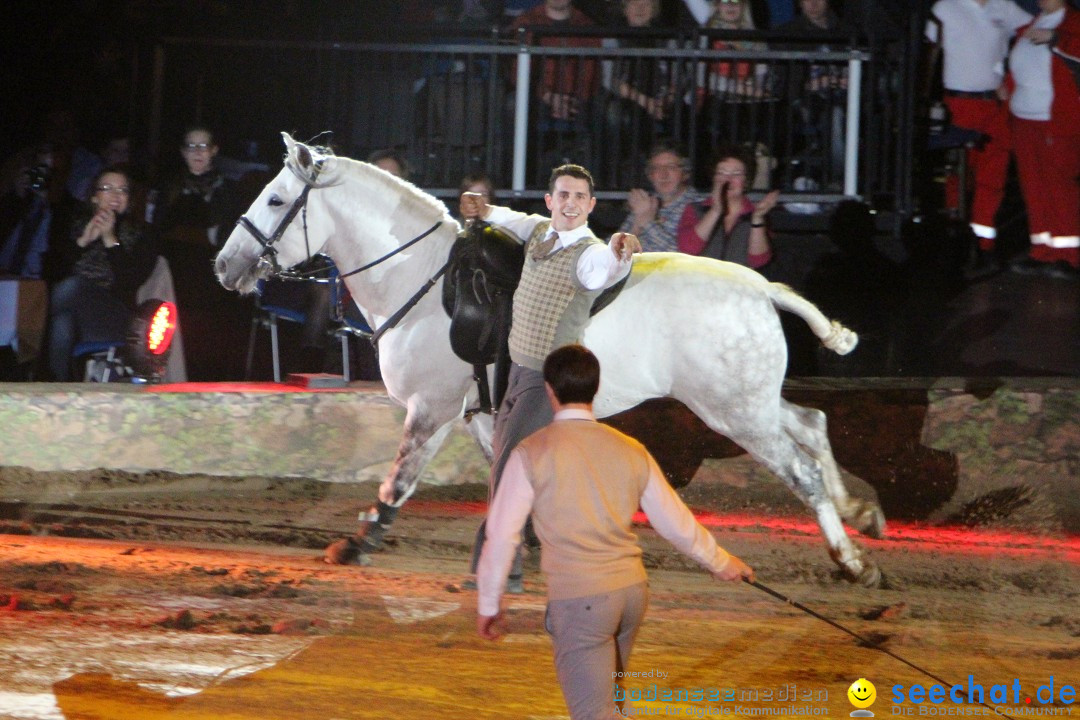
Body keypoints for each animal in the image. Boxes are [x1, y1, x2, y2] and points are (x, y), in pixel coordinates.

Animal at [217, 133, 885, 587]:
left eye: (276, 199)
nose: (224, 266)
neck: (424, 281)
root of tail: (761, 288)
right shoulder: (483, 412)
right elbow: (508, 475)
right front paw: (527, 548)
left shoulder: (431, 408)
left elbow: (400, 479)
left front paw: (356, 546)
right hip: (750, 402)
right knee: (812, 424)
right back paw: (863, 513)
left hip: (734, 412)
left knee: (801, 470)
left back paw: (851, 560)